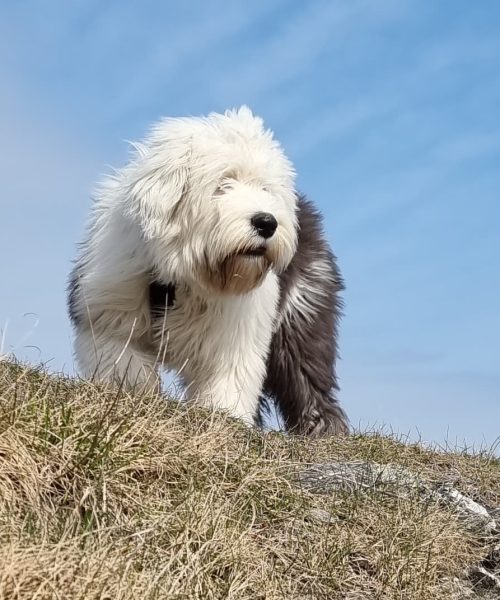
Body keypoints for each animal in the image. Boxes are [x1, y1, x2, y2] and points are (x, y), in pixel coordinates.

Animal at [68, 106, 348, 436]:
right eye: (223, 183)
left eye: (264, 188)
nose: (267, 222)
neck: (181, 277)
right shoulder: (109, 314)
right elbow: (125, 365)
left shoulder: (235, 336)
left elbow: (228, 384)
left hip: (302, 313)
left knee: (307, 382)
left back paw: (323, 430)